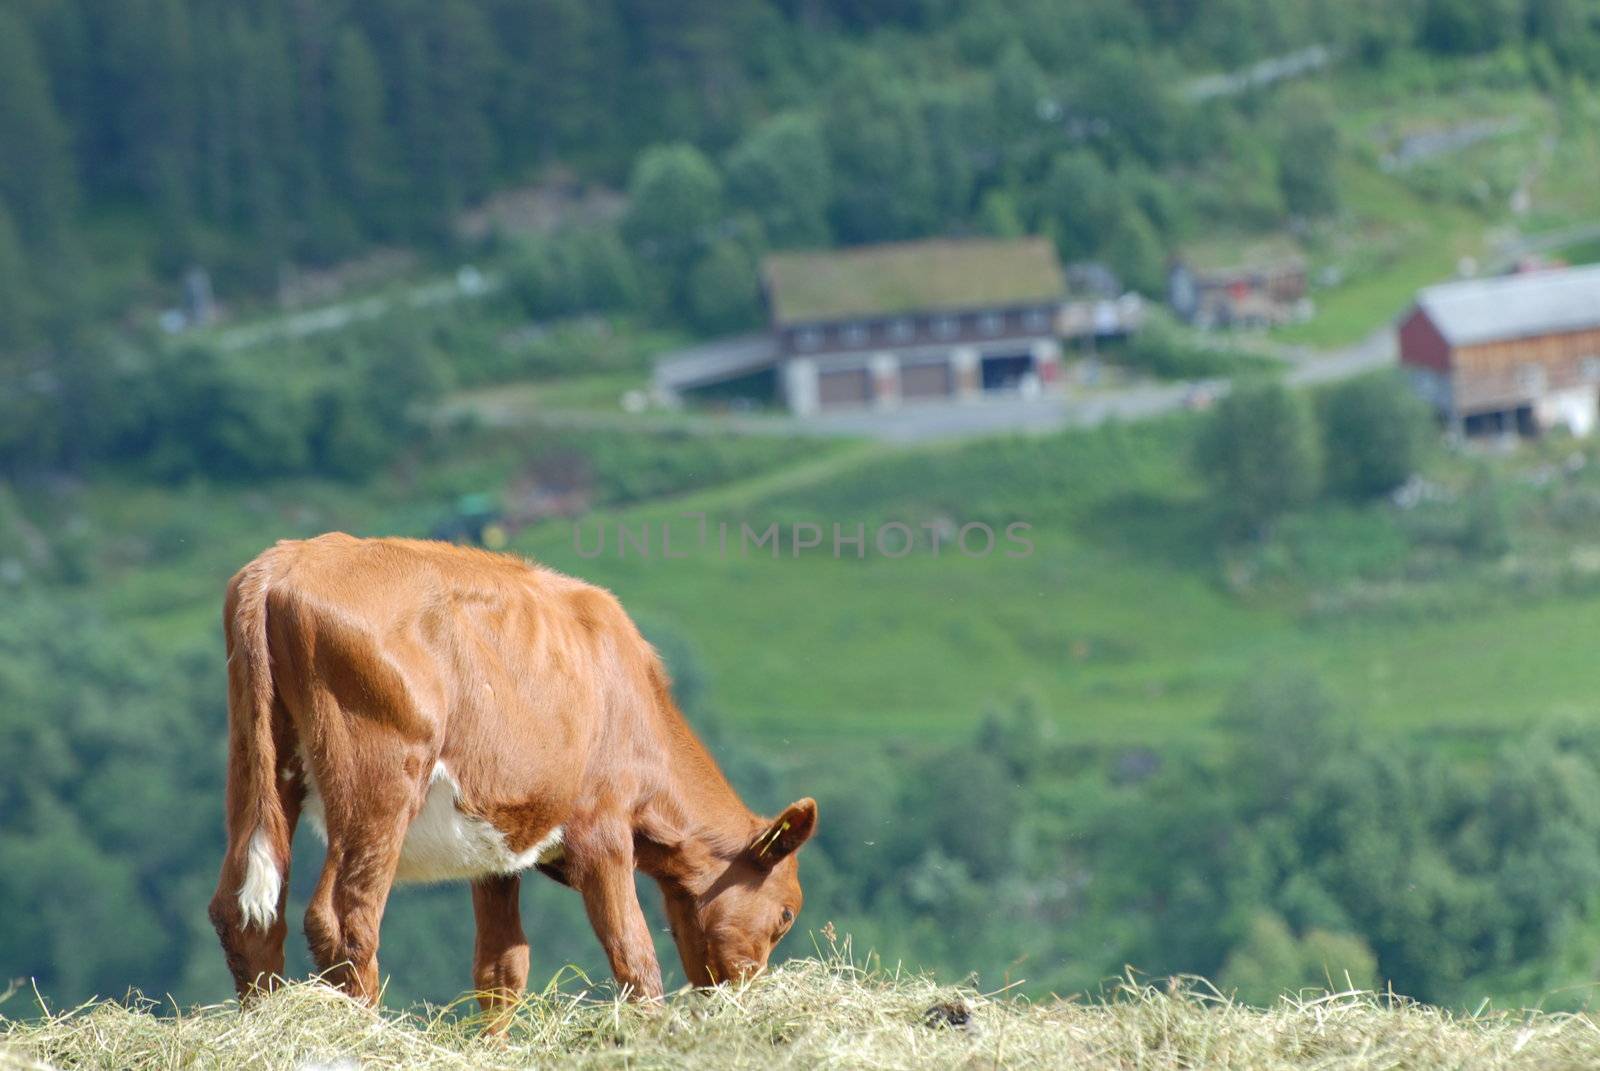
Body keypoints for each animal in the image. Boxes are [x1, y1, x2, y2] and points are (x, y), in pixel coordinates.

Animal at [206, 531, 819, 1018]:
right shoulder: (603, 828)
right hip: (378, 781)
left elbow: (501, 969)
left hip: (258, 764)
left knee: (244, 912)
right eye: (786, 913)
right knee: (343, 919)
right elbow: (634, 957)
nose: (743, 991)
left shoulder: (497, 849)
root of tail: (287, 560)